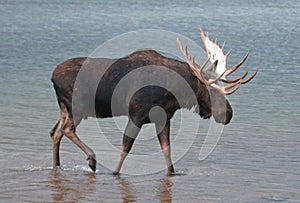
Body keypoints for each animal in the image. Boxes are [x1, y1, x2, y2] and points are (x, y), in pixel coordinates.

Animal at [50, 28, 256, 174]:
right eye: (211, 90)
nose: (228, 114)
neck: (174, 93)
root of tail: (52, 77)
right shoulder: (136, 114)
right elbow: (126, 146)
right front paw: (114, 172)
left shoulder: (163, 118)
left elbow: (166, 149)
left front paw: (172, 172)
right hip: (77, 106)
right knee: (67, 129)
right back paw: (92, 160)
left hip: (65, 108)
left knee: (55, 132)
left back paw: (57, 165)